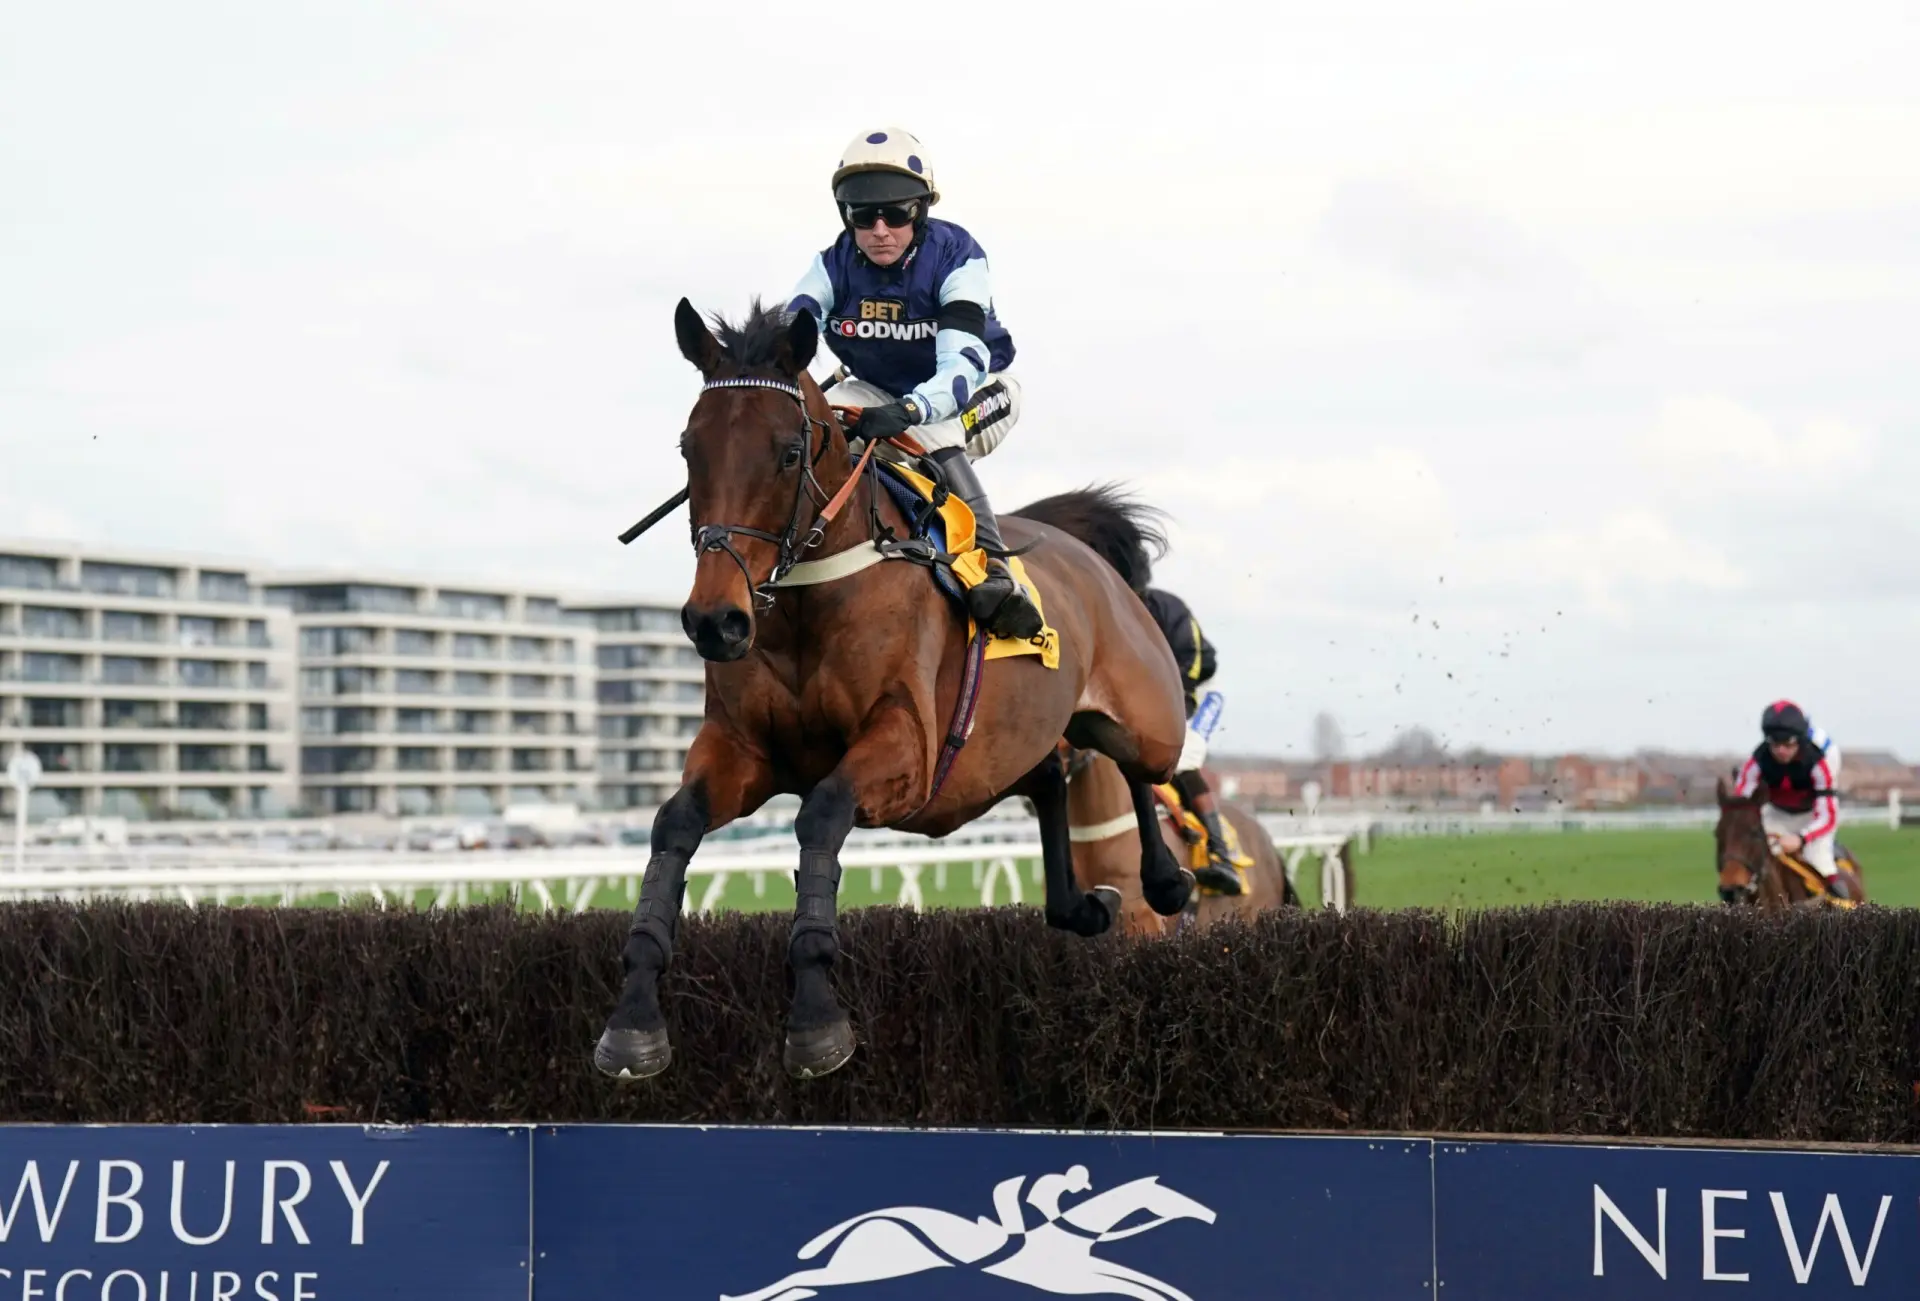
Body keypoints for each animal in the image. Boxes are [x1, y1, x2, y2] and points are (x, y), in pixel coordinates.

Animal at [599, 301, 1198, 1082]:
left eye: (787, 452)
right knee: (1049, 779)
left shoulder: (905, 748)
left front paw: (816, 1020)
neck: (808, 597)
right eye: (688, 449)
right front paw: (633, 1022)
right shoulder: (742, 750)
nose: (715, 621)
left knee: (1141, 768)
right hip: (1000, 749)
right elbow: (673, 827)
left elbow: (821, 815)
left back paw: (1166, 880)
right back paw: (1079, 907)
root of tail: (1085, 552)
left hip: (1144, 714)